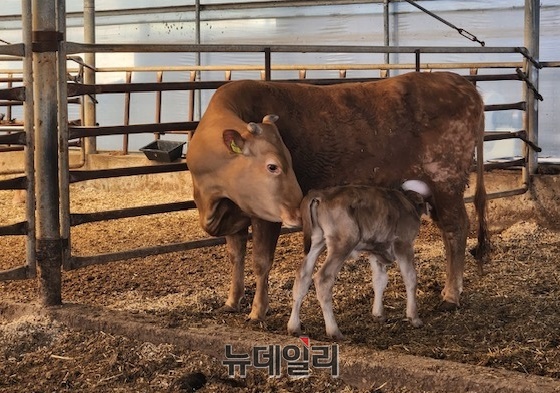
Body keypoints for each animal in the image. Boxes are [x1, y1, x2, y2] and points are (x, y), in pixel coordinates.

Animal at [186, 71, 488, 322]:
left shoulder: (264, 215)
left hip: (446, 180)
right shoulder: (234, 215)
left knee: (455, 228)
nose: (299, 207)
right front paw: (232, 301)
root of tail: (460, 83)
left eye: (285, 162)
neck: (213, 197)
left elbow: (260, 261)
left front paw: (257, 311)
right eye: (273, 165)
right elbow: (235, 256)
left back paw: (451, 295)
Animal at [286, 181, 430, 340]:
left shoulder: (375, 250)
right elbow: (410, 278)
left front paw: (378, 314)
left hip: (317, 241)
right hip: (343, 242)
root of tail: (320, 193)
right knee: (323, 279)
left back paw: (294, 327)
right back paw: (334, 331)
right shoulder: (403, 244)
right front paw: (414, 317)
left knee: (302, 276)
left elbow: (379, 280)